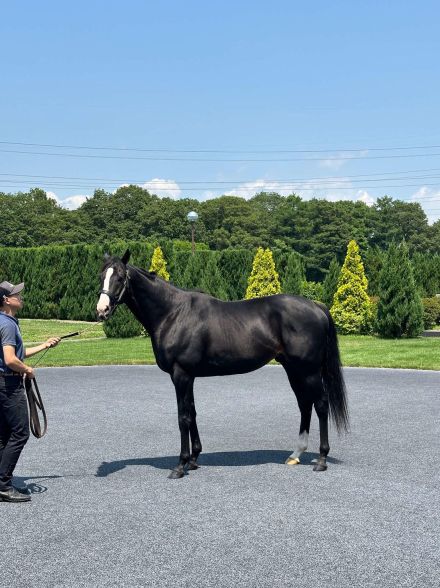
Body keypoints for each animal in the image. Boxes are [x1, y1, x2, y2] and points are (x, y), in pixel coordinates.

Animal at [96, 249, 348, 478]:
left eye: (120, 277)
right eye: (101, 276)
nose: (102, 310)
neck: (173, 313)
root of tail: (316, 306)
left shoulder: (181, 374)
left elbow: (183, 417)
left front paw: (180, 465)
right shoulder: (188, 376)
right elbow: (192, 412)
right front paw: (194, 459)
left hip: (309, 371)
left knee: (321, 405)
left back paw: (321, 459)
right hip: (294, 369)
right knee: (305, 404)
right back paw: (295, 455)